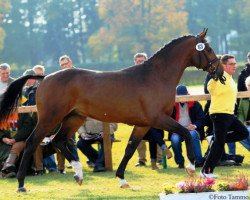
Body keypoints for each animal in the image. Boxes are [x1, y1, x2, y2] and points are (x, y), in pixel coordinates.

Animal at [0, 28, 224, 192]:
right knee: (32, 142)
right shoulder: (158, 119)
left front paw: (122, 179)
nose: (220, 72)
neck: (156, 77)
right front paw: (191, 168)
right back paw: (21, 185)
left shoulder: (143, 125)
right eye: (209, 49)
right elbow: (185, 132)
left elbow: (130, 149)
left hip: (73, 118)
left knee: (58, 141)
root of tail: (45, 78)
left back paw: (78, 174)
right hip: (50, 118)